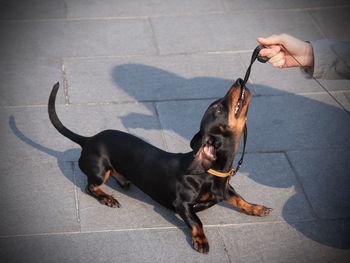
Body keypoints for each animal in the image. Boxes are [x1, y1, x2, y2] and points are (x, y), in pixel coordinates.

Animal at [48, 81, 270, 254]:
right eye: (217, 108)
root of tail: (88, 140)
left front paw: (257, 208)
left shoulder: (225, 190)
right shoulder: (182, 203)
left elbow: (239, 200)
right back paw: (108, 198)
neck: (210, 172)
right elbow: (197, 221)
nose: (240, 80)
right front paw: (201, 240)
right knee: (90, 186)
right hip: (100, 170)